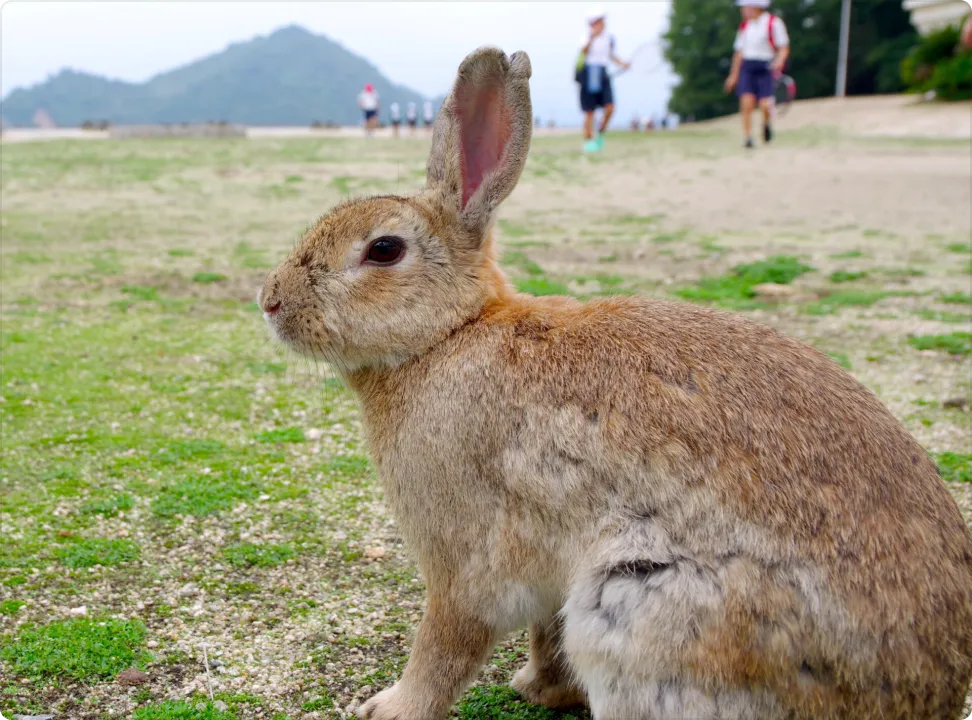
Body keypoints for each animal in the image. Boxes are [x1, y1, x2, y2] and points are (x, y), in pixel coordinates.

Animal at [258, 46, 972, 720]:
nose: (270, 300)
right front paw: (539, 686)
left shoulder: (465, 555)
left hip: (641, 611)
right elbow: (542, 634)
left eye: (383, 250)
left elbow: (449, 639)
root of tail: (920, 697)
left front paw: (390, 707)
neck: (449, 334)